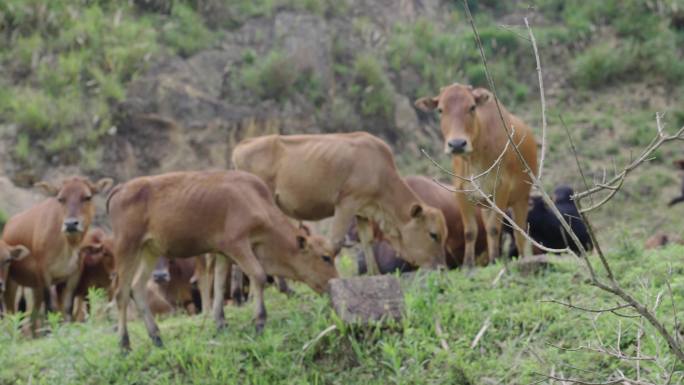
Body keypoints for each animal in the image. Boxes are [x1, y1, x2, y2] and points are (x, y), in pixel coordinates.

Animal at [1, 176, 111, 328]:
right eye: (61, 198)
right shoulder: (45, 274)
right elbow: (50, 309)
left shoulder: (72, 277)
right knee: (11, 313)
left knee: (33, 316)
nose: (70, 224)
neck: (66, 247)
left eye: (87, 197)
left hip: (36, 288)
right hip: (11, 283)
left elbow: (67, 310)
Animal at [107, 170, 340, 350]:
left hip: (149, 251)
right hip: (127, 246)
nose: (334, 283)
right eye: (326, 257)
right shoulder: (237, 244)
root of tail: (121, 188)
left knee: (137, 287)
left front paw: (220, 324)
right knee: (121, 293)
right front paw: (259, 322)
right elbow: (258, 275)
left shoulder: (222, 252)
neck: (255, 201)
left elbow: (218, 285)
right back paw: (124, 344)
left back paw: (156, 337)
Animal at [414, 83, 536, 268]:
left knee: (519, 234)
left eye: (472, 107)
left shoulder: (502, 188)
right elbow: (470, 231)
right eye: (440, 110)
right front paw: (468, 264)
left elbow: (494, 228)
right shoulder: (461, 191)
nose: (457, 144)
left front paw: (494, 260)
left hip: (522, 198)